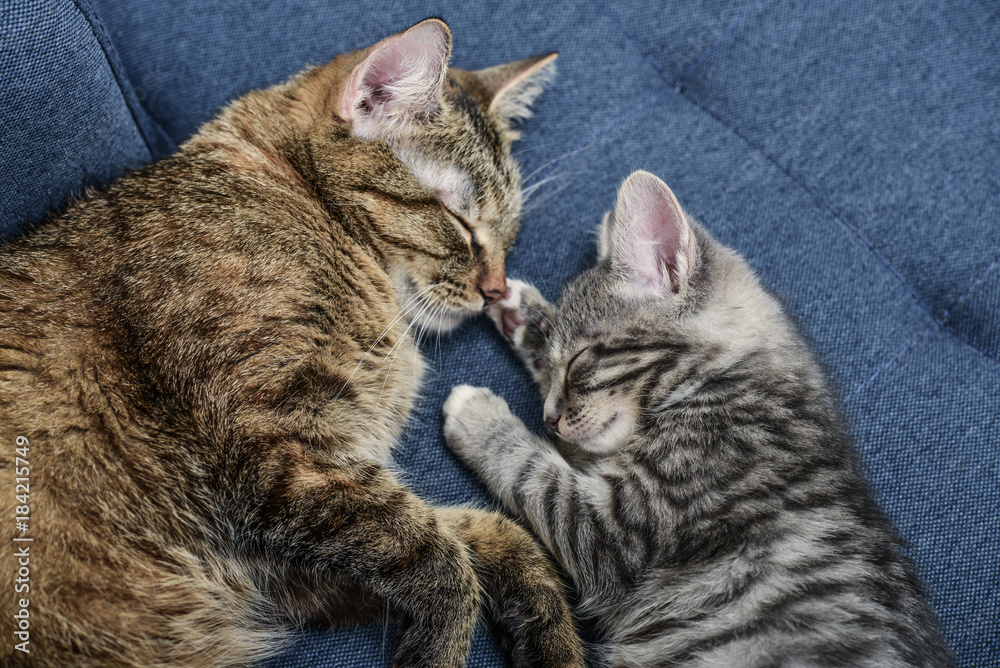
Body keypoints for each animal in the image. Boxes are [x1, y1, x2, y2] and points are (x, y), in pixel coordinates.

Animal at [0, 19, 584, 668]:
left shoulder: (288, 557)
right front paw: (437, 648)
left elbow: (479, 532)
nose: (497, 289)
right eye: (457, 218)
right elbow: (443, 561)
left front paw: (543, 627)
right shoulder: (274, 448)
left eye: (510, 232)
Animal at [442, 172, 948, 668]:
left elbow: (534, 472)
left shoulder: (615, 531)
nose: (548, 417)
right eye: (552, 362)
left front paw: (478, 416)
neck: (735, 379)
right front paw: (523, 313)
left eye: (582, 360)